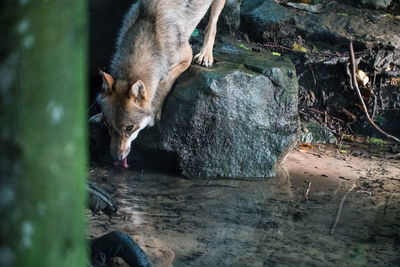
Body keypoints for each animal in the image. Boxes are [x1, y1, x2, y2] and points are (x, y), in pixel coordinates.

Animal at [94, 0, 227, 168]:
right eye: (108, 126)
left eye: (129, 128)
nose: (117, 158)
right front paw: (98, 115)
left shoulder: (186, 57)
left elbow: (164, 83)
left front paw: (155, 111)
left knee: (213, 23)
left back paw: (205, 55)